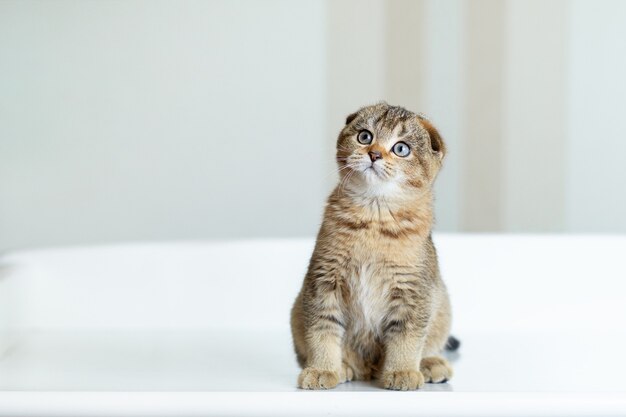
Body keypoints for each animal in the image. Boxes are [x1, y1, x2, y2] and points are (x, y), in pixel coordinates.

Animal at [290, 101, 456, 390]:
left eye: (401, 148)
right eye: (365, 136)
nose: (374, 154)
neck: (373, 220)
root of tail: (369, 370)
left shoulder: (413, 291)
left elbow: (406, 337)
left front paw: (401, 371)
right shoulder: (323, 280)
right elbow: (322, 330)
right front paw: (323, 368)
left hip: (442, 302)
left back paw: (429, 364)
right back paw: (345, 367)